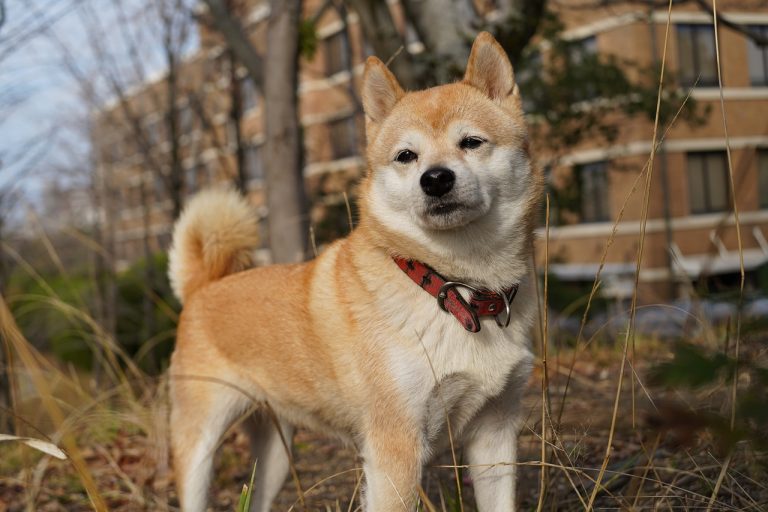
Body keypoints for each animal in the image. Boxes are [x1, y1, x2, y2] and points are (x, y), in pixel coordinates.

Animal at [168, 32, 540, 512]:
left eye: (472, 142)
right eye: (406, 156)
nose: (435, 179)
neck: (455, 289)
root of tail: (202, 287)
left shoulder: (495, 432)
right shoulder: (395, 446)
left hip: (275, 457)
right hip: (200, 444)